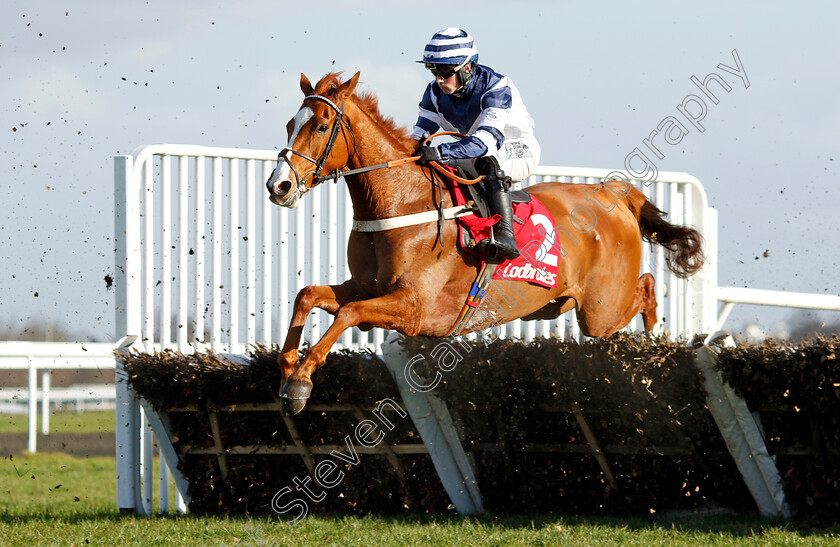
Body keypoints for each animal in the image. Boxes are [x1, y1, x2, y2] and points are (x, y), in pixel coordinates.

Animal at [268, 74, 704, 416]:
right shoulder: (365, 287)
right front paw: (288, 370)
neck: (401, 204)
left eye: (321, 126)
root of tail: (610, 191)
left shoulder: (415, 309)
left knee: (646, 288)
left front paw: (301, 383)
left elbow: (349, 313)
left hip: (601, 309)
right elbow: (308, 295)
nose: (279, 186)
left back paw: (652, 346)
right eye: (290, 123)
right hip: (562, 304)